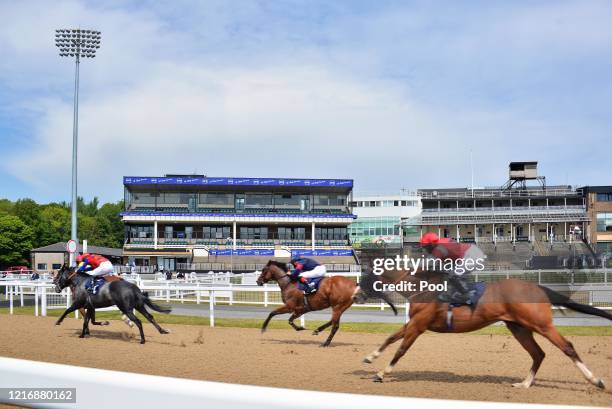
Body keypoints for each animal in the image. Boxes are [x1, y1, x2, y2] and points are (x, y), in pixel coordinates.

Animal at [253, 260, 396, 346]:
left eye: (264, 270)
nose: (258, 281)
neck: (289, 283)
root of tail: (354, 284)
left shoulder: (290, 306)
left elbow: (273, 313)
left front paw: (263, 328)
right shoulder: (301, 309)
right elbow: (289, 320)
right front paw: (300, 327)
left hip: (337, 306)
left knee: (335, 325)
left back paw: (325, 342)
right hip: (340, 306)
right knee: (333, 322)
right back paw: (317, 330)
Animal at [354, 268, 612, 388]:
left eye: (365, 279)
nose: (355, 296)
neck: (423, 289)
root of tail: (538, 287)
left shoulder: (419, 326)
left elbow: (401, 350)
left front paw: (381, 373)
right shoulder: (414, 323)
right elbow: (390, 338)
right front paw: (369, 357)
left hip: (541, 324)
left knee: (567, 347)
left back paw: (595, 380)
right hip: (519, 328)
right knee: (538, 354)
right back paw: (524, 383)